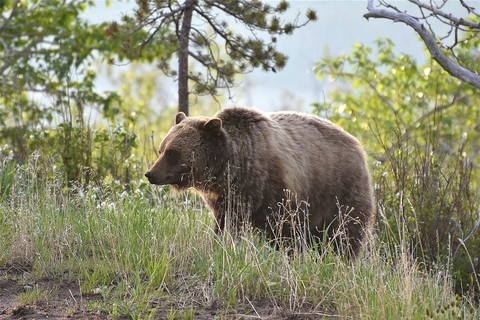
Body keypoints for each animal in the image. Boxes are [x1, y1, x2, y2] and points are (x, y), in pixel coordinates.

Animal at [144, 106, 376, 256]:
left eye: (173, 153)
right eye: (162, 149)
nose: (150, 174)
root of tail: (358, 145)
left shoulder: (271, 190)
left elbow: (281, 229)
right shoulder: (226, 199)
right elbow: (223, 224)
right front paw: (219, 245)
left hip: (338, 191)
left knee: (345, 233)